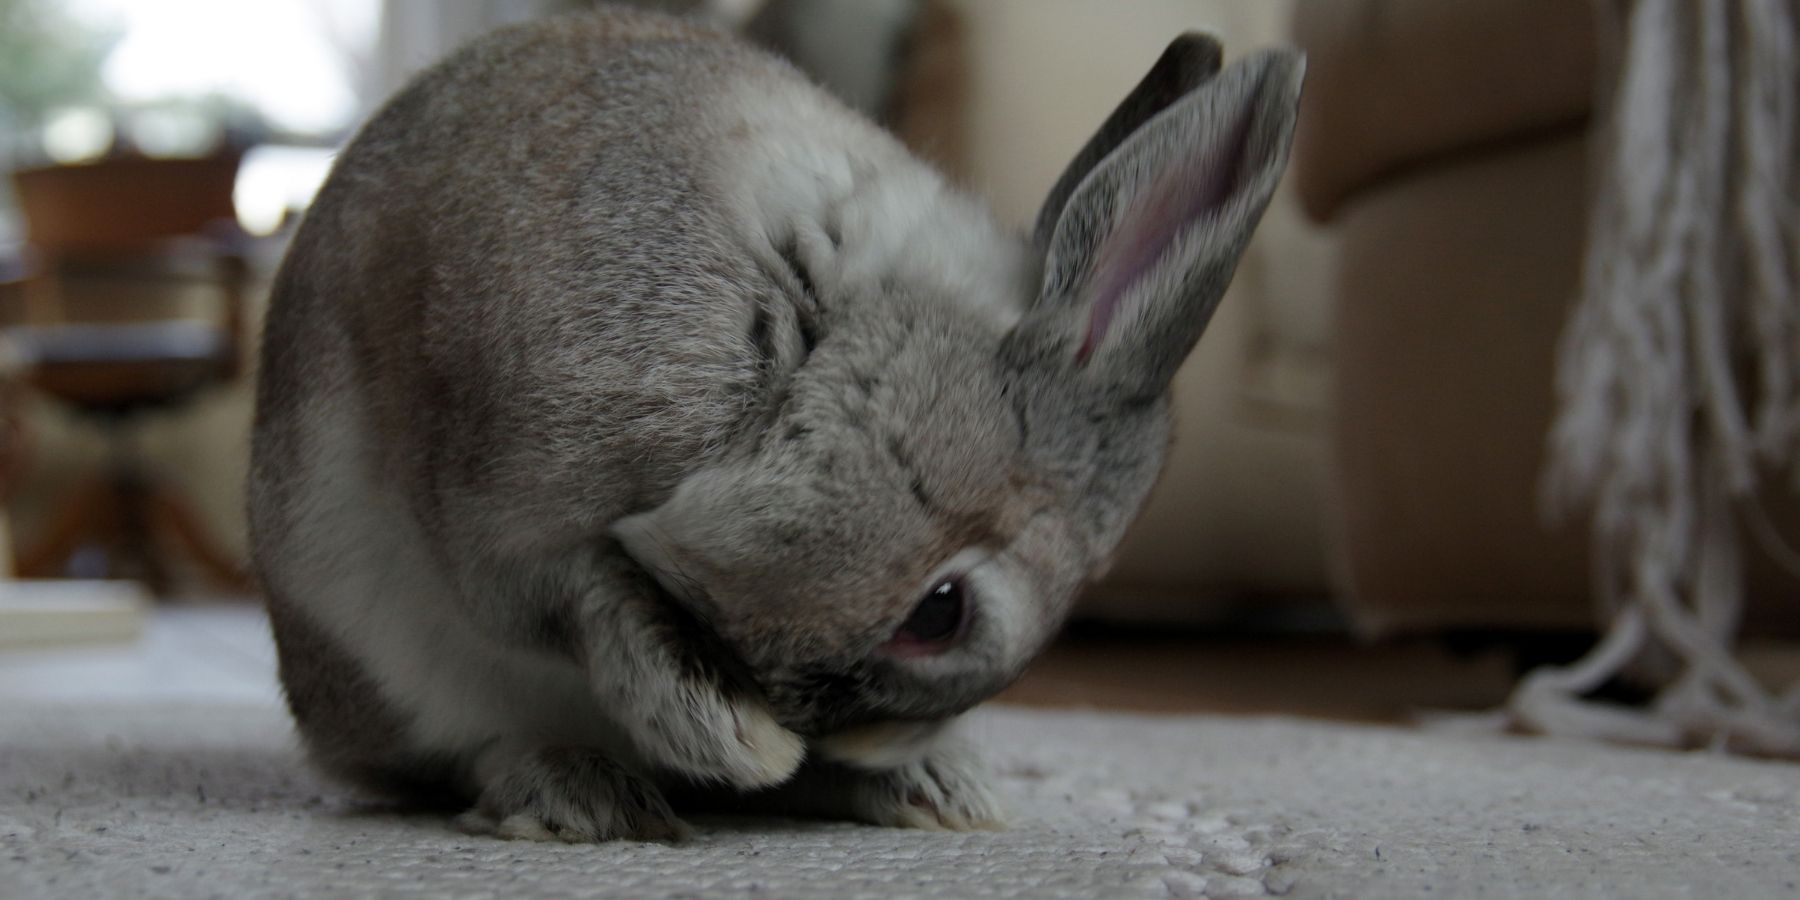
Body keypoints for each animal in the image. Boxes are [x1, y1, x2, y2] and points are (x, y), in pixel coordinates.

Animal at [250, 5, 1296, 842]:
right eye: (940, 611)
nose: (808, 724)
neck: (817, 337)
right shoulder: (497, 511)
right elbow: (579, 600)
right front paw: (738, 737)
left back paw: (932, 792)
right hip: (388, 660)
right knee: (466, 752)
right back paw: (585, 796)